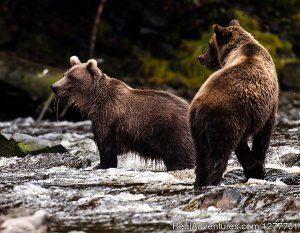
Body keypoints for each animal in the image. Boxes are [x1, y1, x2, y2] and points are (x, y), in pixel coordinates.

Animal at [51, 55, 197, 170]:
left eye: (72, 77)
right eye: (64, 74)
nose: (54, 86)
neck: (94, 100)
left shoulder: (107, 115)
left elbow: (105, 144)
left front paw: (100, 165)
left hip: (174, 133)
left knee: (182, 158)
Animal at [190, 20, 278, 187]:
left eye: (209, 45)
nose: (200, 57)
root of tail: (198, 108)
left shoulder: (247, 118)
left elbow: (243, 145)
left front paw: (253, 168)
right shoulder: (265, 110)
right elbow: (262, 137)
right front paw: (257, 167)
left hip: (198, 130)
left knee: (201, 156)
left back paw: (200, 181)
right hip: (224, 120)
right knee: (218, 155)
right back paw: (214, 180)